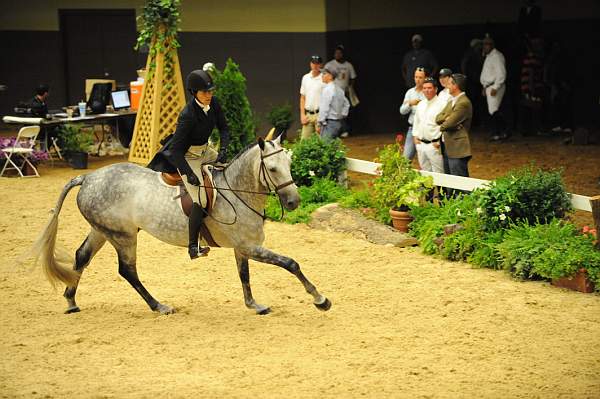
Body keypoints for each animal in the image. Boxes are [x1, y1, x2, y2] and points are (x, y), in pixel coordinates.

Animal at [30, 137, 330, 316]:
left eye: (289, 163)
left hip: (102, 231)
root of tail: (88, 177)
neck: (237, 191)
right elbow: (290, 263)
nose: (293, 202)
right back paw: (158, 305)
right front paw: (320, 299)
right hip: (123, 237)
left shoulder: (242, 248)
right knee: (127, 271)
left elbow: (244, 276)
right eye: (273, 169)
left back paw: (71, 301)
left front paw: (253, 305)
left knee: (82, 257)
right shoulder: (250, 246)